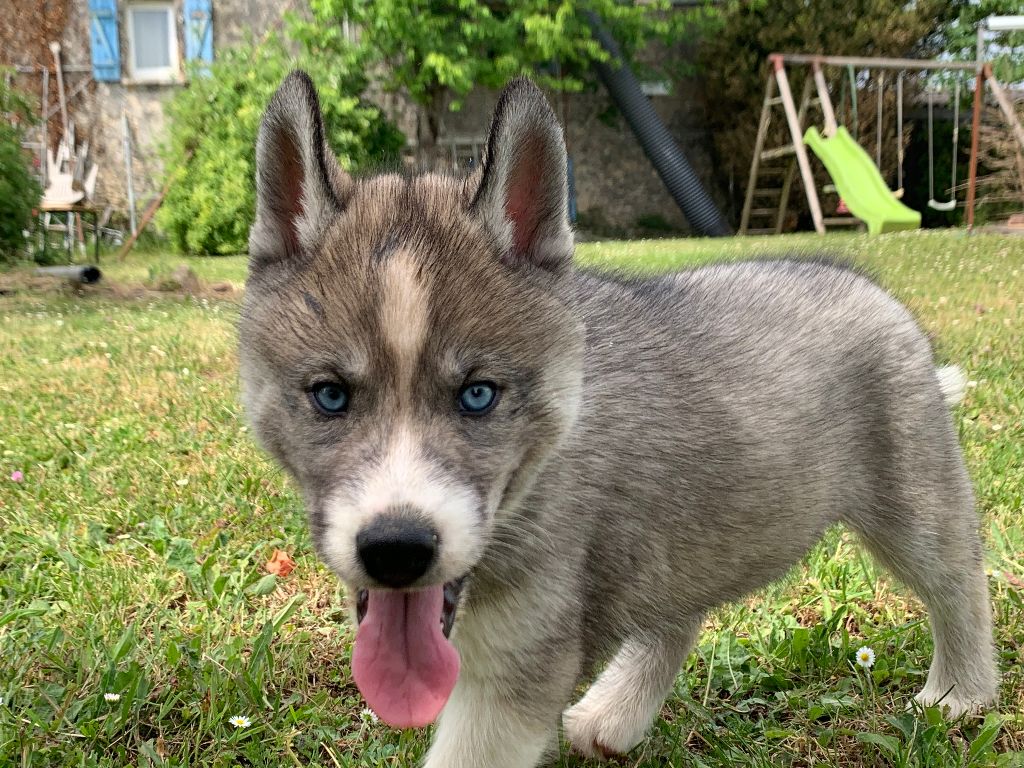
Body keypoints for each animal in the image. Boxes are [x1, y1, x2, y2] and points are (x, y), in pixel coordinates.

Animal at [239, 72, 998, 767]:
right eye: (330, 395)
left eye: (478, 395)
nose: (396, 550)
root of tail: (872, 290)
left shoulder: (520, 667)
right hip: (682, 527)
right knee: (677, 616)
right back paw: (617, 714)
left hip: (916, 501)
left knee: (959, 579)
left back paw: (961, 692)